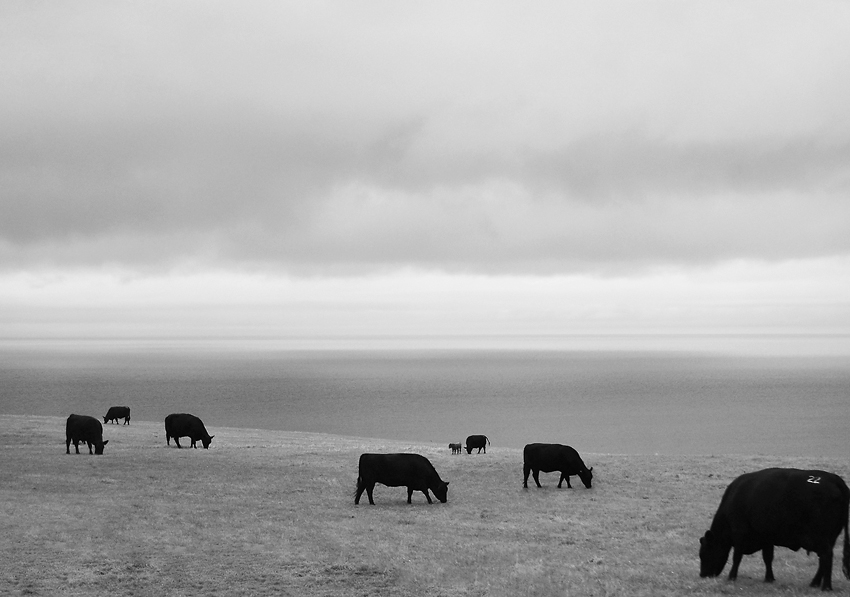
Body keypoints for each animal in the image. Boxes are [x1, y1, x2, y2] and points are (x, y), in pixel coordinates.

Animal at [696, 466, 848, 588]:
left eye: (704, 553)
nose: (703, 575)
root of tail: (834, 478)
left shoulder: (739, 534)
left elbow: (737, 557)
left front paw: (731, 577)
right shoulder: (766, 537)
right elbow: (768, 557)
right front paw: (769, 578)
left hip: (821, 537)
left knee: (826, 556)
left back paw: (826, 586)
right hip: (830, 537)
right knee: (824, 559)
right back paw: (814, 583)